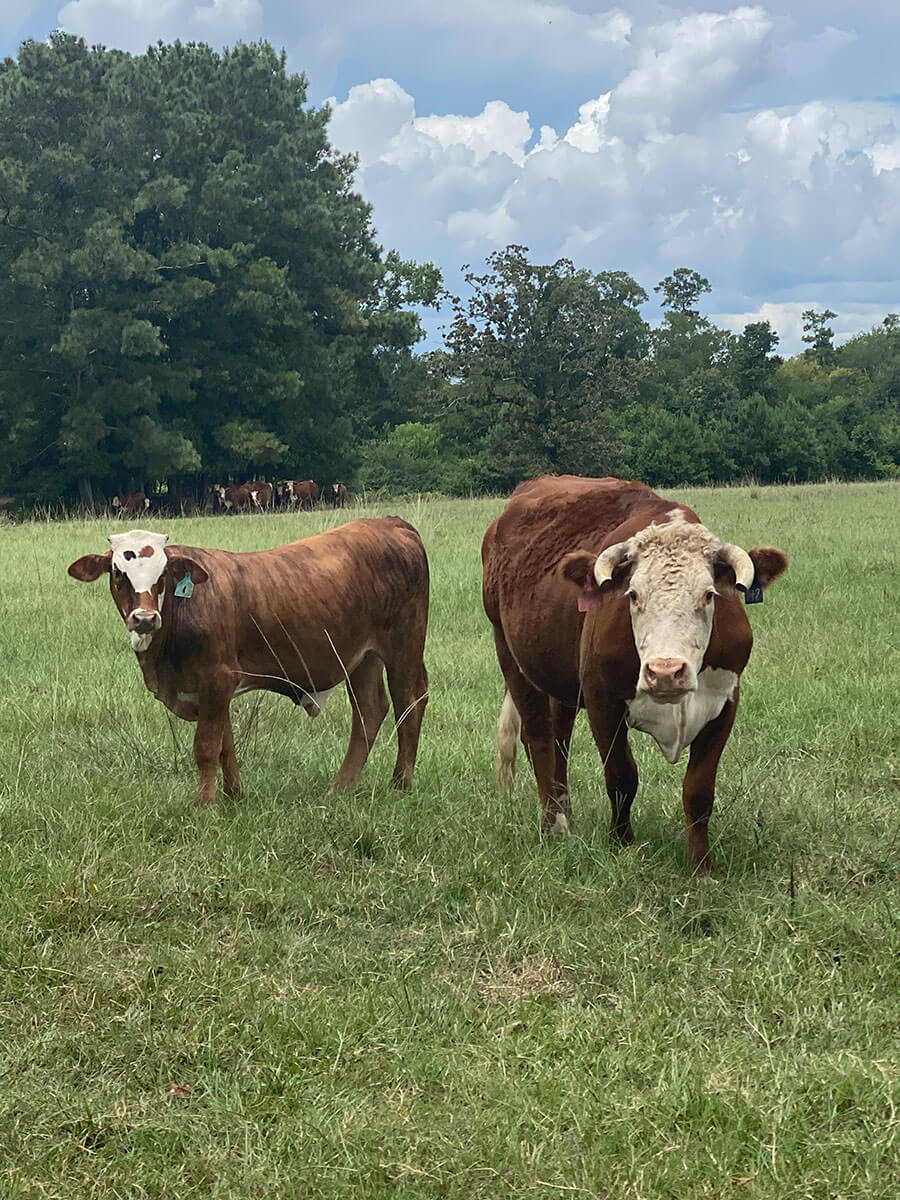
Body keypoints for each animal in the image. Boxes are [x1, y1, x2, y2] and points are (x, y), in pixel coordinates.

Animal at [67, 520, 430, 806]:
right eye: (119, 573)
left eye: (164, 574)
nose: (144, 618)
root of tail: (391, 523)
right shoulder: (215, 689)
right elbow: (225, 743)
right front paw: (234, 794)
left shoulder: (217, 678)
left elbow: (206, 745)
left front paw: (204, 804)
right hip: (361, 659)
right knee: (370, 710)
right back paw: (340, 788)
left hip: (404, 648)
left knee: (409, 703)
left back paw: (401, 782)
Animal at [482, 475, 788, 871]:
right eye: (632, 595)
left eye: (708, 595)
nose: (666, 672)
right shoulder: (602, 702)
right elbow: (622, 777)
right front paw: (620, 843)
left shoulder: (725, 704)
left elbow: (699, 789)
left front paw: (700, 864)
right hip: (510, 653)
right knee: (538, 738)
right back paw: (554, 825)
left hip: (559, 680)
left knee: (559, 738)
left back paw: (566, 814)